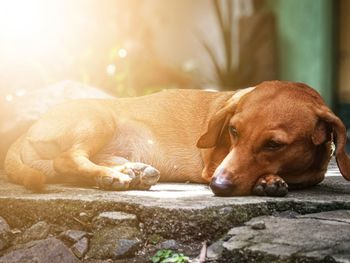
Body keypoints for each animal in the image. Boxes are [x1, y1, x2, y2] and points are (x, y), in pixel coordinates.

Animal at [3, 81, 350, 197]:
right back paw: (112, 176)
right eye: (233, 131)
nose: (218, 186)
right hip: (98, 118)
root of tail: (26, 133)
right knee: (67, 159)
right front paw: (268, 181)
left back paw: (130, 171)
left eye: (274, 145)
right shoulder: (215, 164)